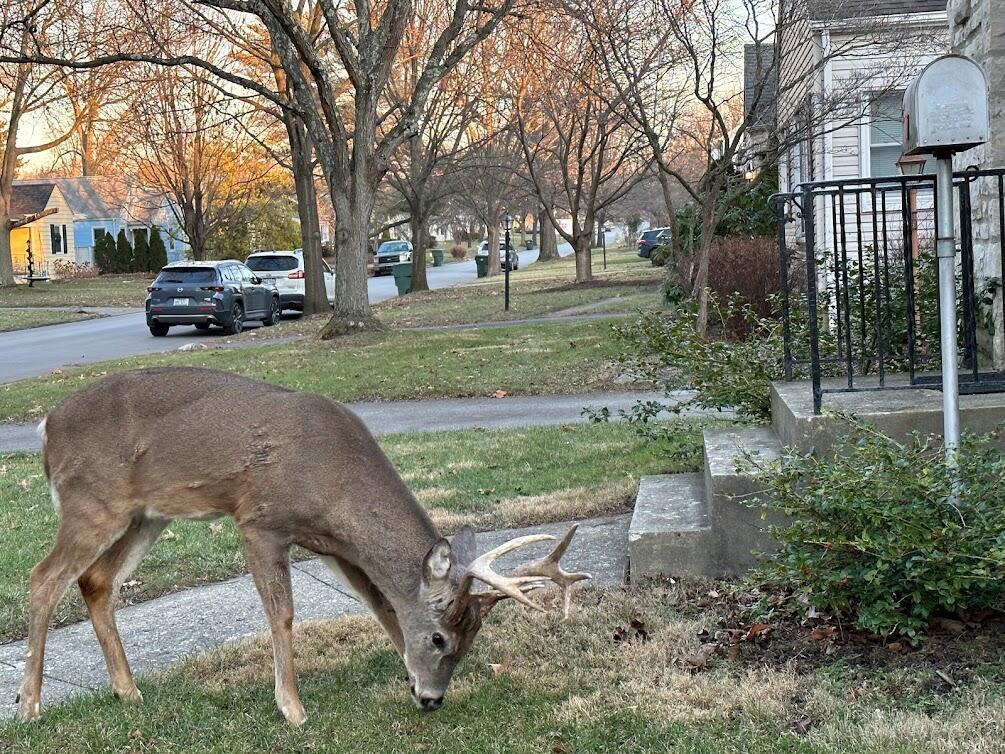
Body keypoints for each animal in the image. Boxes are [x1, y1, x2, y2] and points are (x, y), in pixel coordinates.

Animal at [17, 367, 590, 725]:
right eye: (439, 639)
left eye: (470, 643)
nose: (432, 700)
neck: (337, 483)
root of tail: (46, 427)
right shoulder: (260, 520)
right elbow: (283, 614)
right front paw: (292, 708)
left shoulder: (335, 545)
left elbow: (382, 606)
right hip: (91, 501)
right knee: (43, 577)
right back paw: (30, 705)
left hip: (146, 516)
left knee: (95, 581)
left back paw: (128, 691)